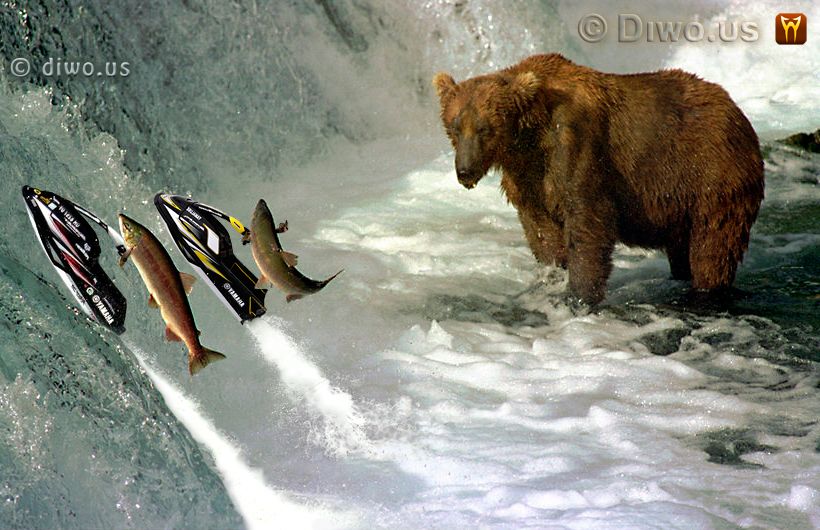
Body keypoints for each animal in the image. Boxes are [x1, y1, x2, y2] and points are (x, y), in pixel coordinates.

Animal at [433, 53, 764, 305]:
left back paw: (706, 289)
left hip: (711, 174)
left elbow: (587, 218)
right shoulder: (527, 178)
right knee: (683, 247)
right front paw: (552, 276)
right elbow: (541, 229)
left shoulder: (575, 143)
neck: (528, 139)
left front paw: (578, 294)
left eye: (485, 128)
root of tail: (735, 108)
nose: (465, 170)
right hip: (680, 202)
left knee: (713, 246)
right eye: (454, 126)